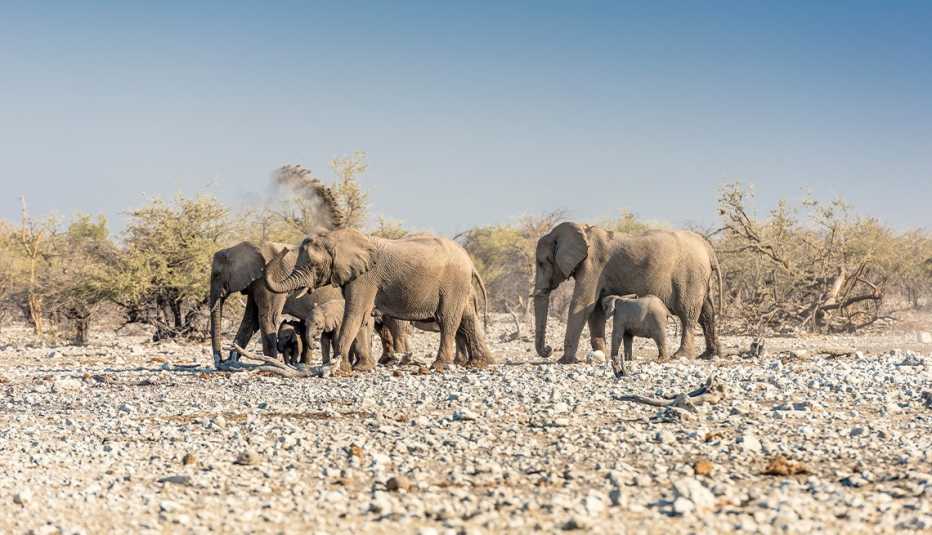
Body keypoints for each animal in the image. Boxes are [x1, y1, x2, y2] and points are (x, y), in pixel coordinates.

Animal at [208, 241, 372, 368]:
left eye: (216, 274)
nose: (220, 361)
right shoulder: (255, 284)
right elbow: (250, 321)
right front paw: (232, 361)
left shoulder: (268, 280)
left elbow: (267, 318)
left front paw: (269, 363)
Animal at [264, 228, 493, 374]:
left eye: (313, 265)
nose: (282, 250)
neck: (337, 237)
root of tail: (470, 261)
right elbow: (363, 318)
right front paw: (361, 368)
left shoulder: (365, 278)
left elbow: (355, 313)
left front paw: (342, 368)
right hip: (461, 287)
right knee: (467, 318)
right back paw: (480, 364)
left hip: (453, 284)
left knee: (447, 319)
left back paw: (439, 366)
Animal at [532, 222, 723, 364]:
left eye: (542, 263)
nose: (548, 349)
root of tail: (708, 248)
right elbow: (595, 310)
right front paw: (600, 355)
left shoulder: (593, 265)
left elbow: (582, 304)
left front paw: (564, 361)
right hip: (701, 278)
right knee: (706, 313)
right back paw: (709, 355)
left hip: (690, 277)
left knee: (688, 314)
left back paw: (681, 356)